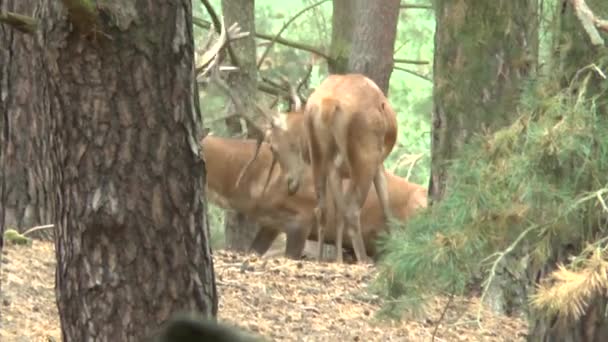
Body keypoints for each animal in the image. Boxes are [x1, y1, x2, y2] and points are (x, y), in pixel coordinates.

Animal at [242, 73, 400, 264]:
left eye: (271, 146)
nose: (290, 184)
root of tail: (328, 105)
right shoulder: (377, 164)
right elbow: (385, 207)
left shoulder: (337, 171)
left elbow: (338, 212)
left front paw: (338, 258)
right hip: (365, 156)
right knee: (352, 209)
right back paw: (363, 260)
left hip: (322, 160)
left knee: (323, 209)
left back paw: (321, 258)